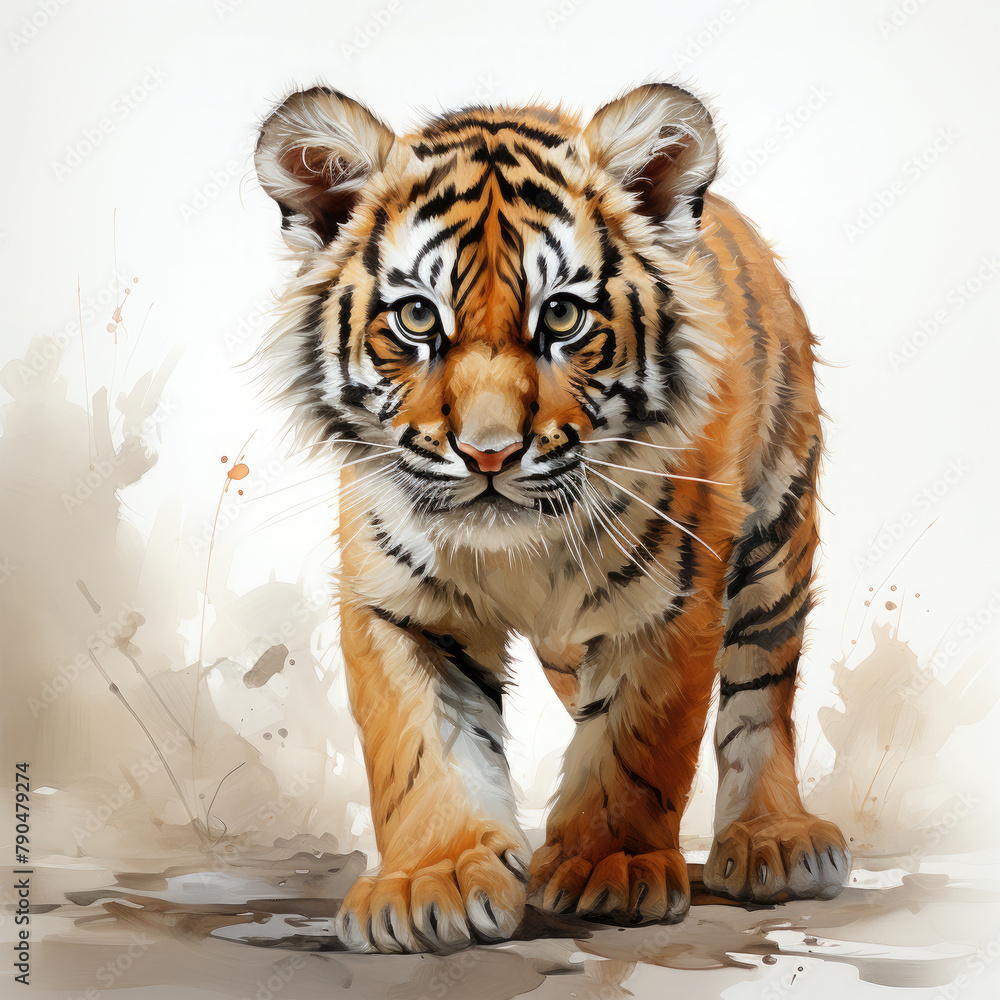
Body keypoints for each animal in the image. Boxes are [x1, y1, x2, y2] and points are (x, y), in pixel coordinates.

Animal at [253, 82, 850, 953]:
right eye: (418, 319)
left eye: (562, 317)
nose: (489, 453)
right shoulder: (399, 606)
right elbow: (421, 748)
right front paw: (430, 881)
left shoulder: (670, 602)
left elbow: (636, 745)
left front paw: (612, 866)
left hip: (777, 536)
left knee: (759, 693)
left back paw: (774, 838)